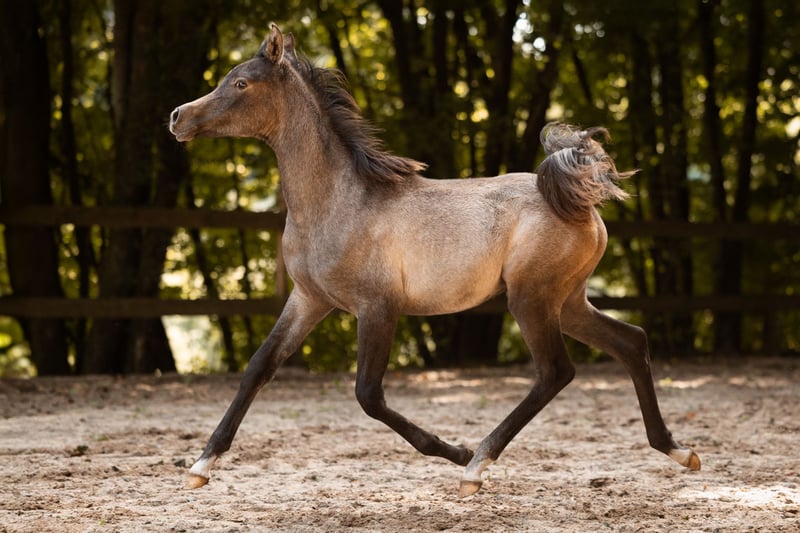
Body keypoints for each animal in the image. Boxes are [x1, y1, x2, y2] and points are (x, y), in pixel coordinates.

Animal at [169, 24, 700, 497]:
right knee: (631, 342)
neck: (338, 201)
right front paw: (200, 466)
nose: (177, 117)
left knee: (556, 371)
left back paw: (477, 465)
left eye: (241, 83)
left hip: (531, 299)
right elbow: (259, 367)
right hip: (567, 301)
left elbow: (368, 395)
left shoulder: (377, 308)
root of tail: (579, 201)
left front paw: (456, 451)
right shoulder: (309, 300)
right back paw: (679, 451)